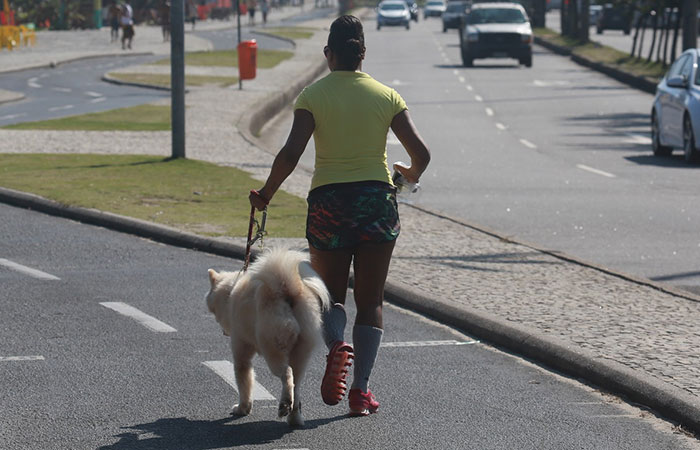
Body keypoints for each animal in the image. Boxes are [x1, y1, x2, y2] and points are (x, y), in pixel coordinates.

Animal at [205, 248, 330, 428]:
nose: (222, 330)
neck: (231, 293)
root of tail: (286, 291)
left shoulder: (241, 349)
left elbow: (244, 382)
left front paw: (242, 408)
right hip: (302, 350)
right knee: (296, 385)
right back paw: (294, 417)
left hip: (273, 348)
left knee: (287, 374)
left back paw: (284, 405)